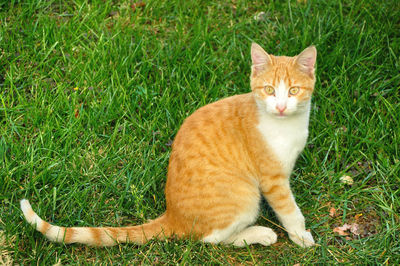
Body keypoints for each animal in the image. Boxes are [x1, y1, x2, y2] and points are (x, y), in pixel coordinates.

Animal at [21, 41, 316, 247]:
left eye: (293, 91)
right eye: (269, 90)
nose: (280, 106)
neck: (284, 126)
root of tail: (173, 214)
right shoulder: (272, 179)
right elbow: (289, 210)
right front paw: (301, 236)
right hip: (244, 196)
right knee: (209, 239)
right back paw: (258, 234)